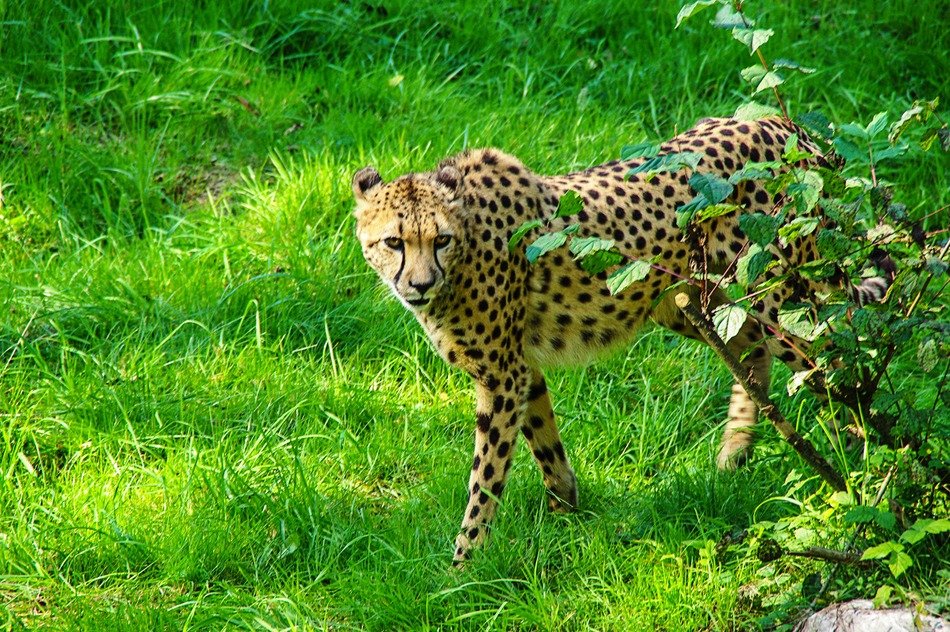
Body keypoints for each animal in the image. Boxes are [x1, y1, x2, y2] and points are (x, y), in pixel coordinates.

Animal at [351, 116, 889, 564]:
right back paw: (736, 453)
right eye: (394, 242)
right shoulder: (522, 368)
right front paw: (564, 513)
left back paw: (864, 464)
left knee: (832, 357)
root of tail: (780, 122)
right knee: (752, 350)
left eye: (438, 240)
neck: (465, 242)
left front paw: (465, 562)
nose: (419, 284)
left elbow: (486, 474)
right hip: (691, 303)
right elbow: (544, 442)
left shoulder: (503, 375)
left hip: (772, 297)